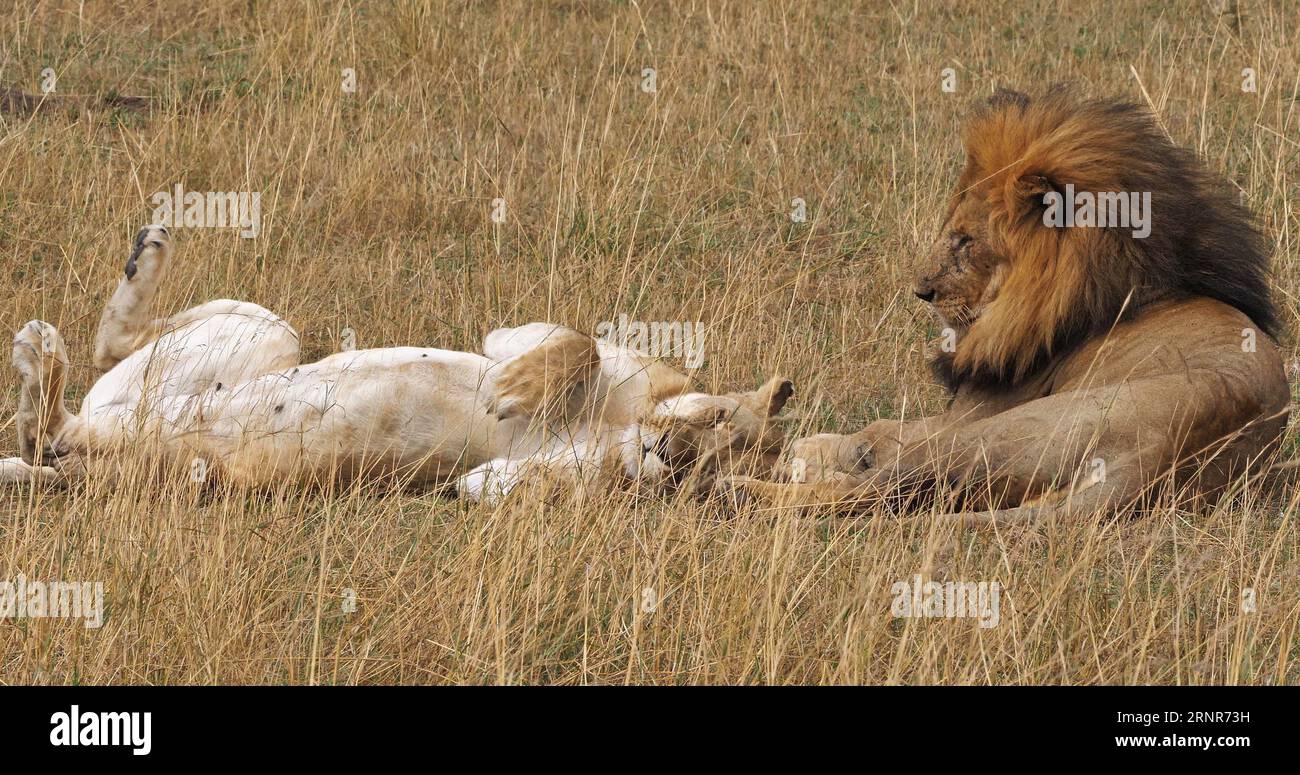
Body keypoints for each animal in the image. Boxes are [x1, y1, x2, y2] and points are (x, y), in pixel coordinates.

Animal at [3, 226, 792, 501]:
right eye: (720, 420)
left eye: (707, 470)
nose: (672, 455)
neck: (627, 424)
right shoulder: (518, 335)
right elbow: (576, 340)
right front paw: (515, 390)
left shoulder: (490, 482)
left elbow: (509, 483)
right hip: (270, 331)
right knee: (106, 349)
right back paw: (138, 260)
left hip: (145, 448)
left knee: (48, 428)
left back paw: (41, 369)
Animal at [726, 89, 1290, 524]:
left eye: (964, 241)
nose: (921, 291)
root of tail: (1156, 458)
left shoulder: (966, 414)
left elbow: (877, 431)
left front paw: (810, 445)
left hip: (991, 435)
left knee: (877, 486)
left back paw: (741, 490)